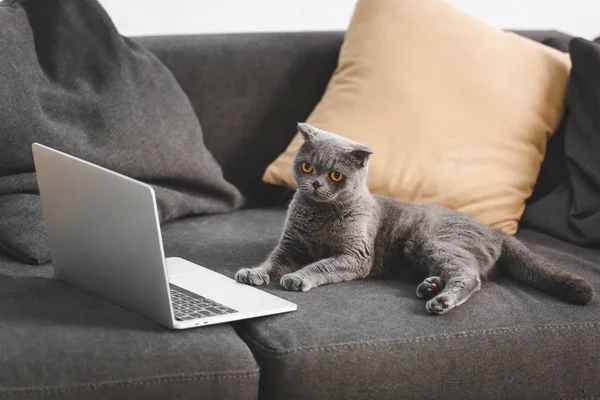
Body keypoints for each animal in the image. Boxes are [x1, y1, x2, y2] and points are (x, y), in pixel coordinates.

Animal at [232, 122, 592, 316]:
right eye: (307, 167)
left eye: (335, 175)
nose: (316, 184)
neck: (321, 214)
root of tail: (496, 232)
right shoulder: (290, 244)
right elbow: (273, 261)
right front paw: (254, 273)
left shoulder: (355, 256)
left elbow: (321, 265)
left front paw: (297, 278)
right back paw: (429, 286)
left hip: (436, 242)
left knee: (471, 277)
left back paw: (440, 300)